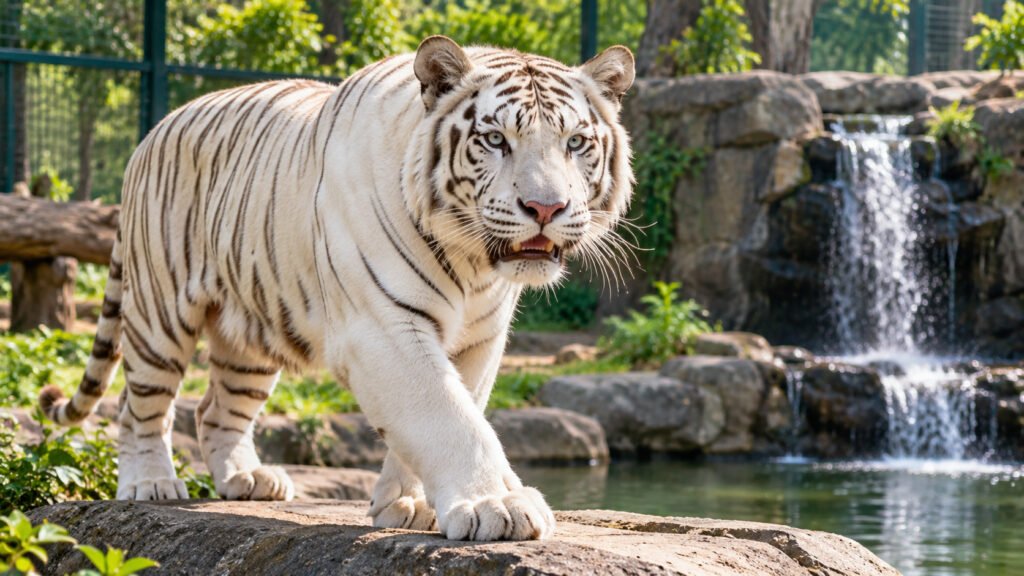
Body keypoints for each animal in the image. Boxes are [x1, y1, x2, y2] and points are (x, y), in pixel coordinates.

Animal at [38, 35, 635, 541]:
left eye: (575, 143)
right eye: (495, 140)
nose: (546, 208)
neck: (473, 264)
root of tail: (155, 130)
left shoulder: (478, 339)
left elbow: (446, 411)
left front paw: (407, 505)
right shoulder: (384, 327)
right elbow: (448, 416)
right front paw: (497, 506)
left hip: (251, 332)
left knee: (215, 409)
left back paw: (247, 480)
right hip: (159, 312)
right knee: (139, 404)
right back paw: (151, 483)